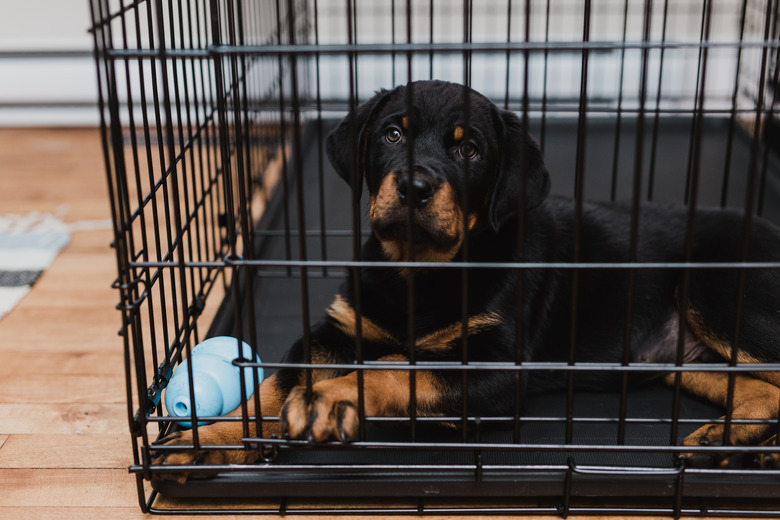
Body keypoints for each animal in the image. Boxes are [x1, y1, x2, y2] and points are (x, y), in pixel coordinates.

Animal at [157, 79, 780, 478]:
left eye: (472, 150)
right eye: (391, 135)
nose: (414, 186)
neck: (418, 269)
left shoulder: (496, 366)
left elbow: (397, 365)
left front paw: (330, 397)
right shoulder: (337, 327)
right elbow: (273, 384)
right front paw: (208, 440)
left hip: (717, 291)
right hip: (687, 359)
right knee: (763, 392)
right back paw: (728, 444)